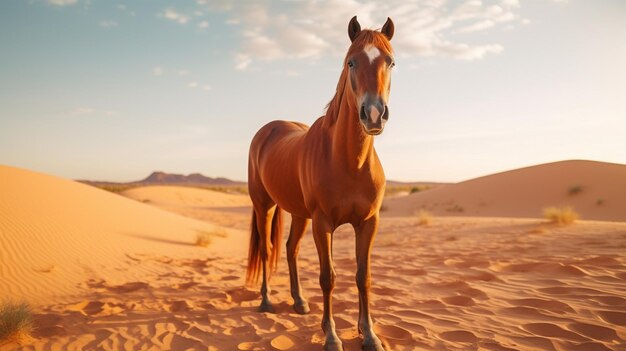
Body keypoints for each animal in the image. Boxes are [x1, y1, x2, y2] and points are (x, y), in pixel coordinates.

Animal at [246, 16, 392, 351]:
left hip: (299, 214)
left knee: (290, 249)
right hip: (264, 206)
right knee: (268, 250)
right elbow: (329, 277)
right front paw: (331, 336)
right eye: (351, 62)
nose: (373, 114)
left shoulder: (369, 223)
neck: (349, 162)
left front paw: (369, 334)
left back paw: (299, 301)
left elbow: (363, 276)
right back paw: (266, 301)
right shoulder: (323, 223)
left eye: (390, 62)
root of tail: (268, 130)